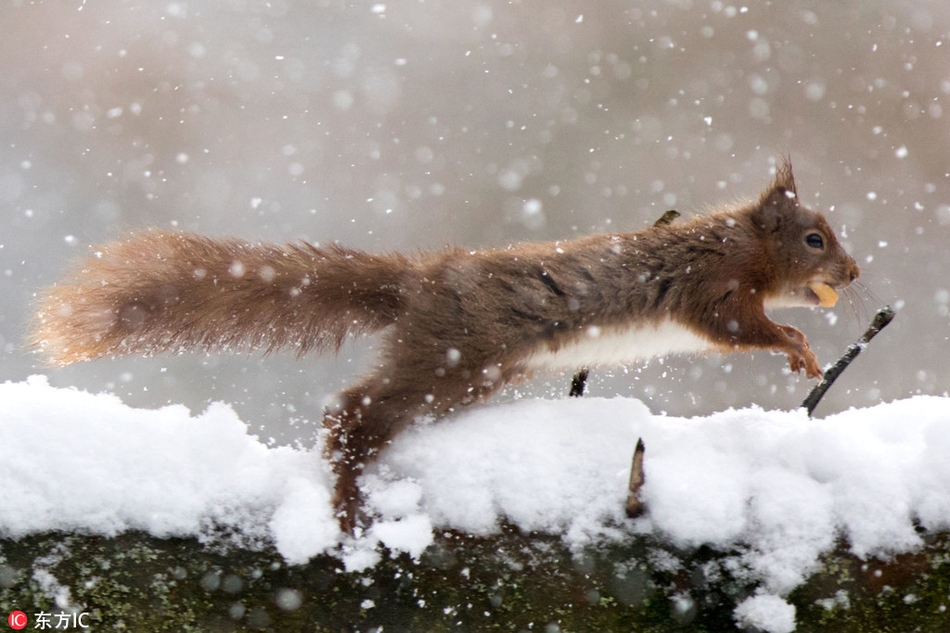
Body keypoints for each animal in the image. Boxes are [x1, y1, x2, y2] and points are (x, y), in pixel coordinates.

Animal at [31, 160, 864, 532]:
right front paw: (798, 346)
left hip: (467, 371)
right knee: (353, 413)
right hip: (449, 359)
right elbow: (740, 329)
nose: (854, 273)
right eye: (814, 238)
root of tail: (420, 282)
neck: (737, 243)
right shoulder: (706, 286)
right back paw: (347, 501)